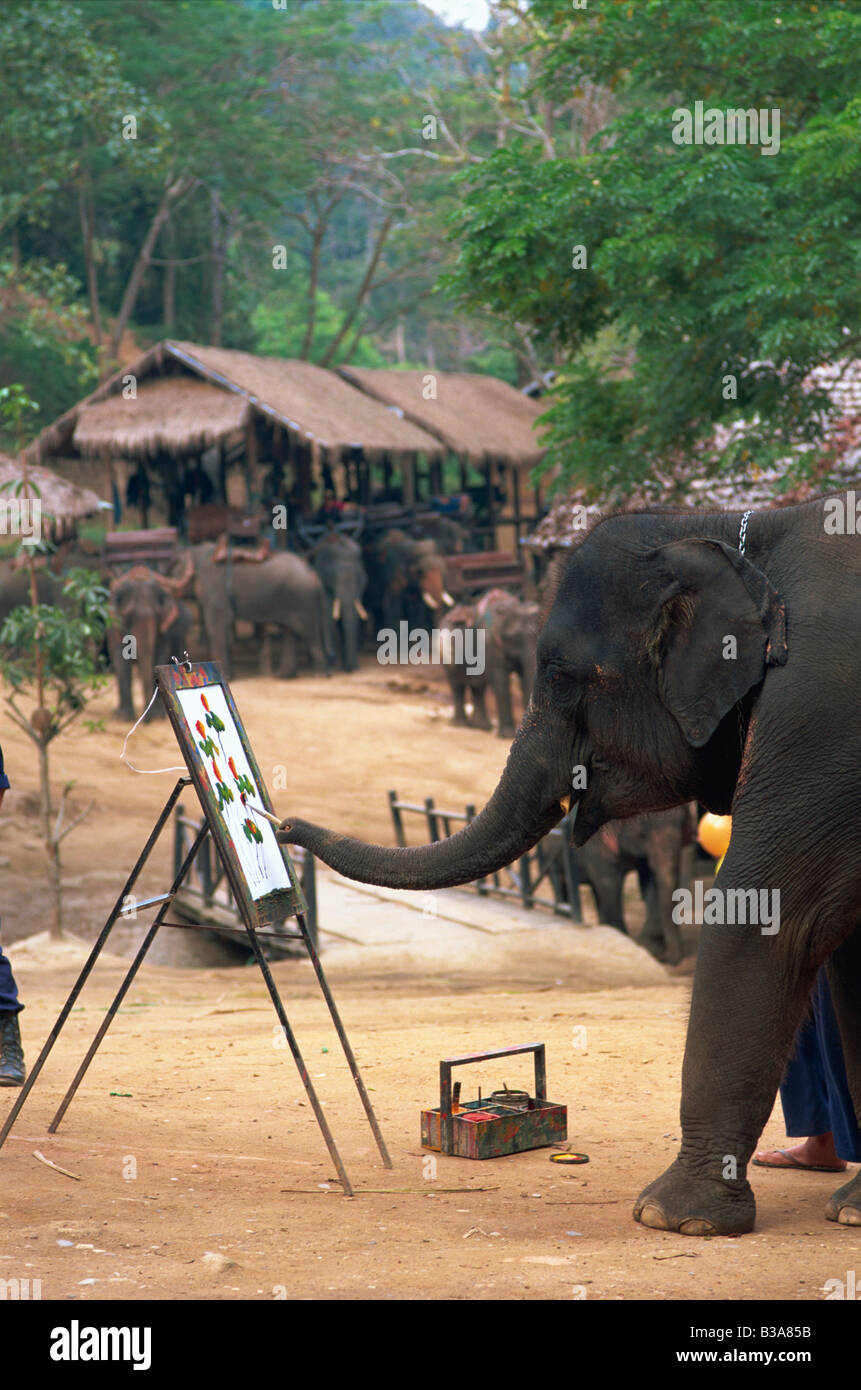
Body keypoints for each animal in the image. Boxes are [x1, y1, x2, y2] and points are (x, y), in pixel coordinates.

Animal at [108, 559, 194, 721]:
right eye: (129, 616)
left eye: (157, 616)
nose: (146, 720)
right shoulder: (115, 627)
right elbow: (120, 660)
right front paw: (125, 717)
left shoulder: (164, 630)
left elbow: (159, 655)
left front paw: (158, 716)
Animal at [190, 542, 328, 678]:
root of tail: (313, 573)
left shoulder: (215, 590)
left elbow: (217, 625)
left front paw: (228, 677)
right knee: (289, 631)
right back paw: (285, 675)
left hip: (303, 600)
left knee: (309, 633)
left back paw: (319, 675)